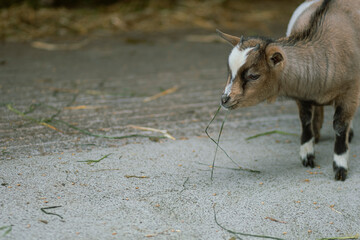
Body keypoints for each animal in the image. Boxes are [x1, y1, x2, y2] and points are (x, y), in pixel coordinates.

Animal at [217, 0, 360, 180]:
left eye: (254, 76)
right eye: (229, 71)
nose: (225, 99)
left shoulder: (350, 91)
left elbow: (340, 125)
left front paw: (340, 168)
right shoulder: (303, 94)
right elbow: (305, 119)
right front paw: (307, 154)